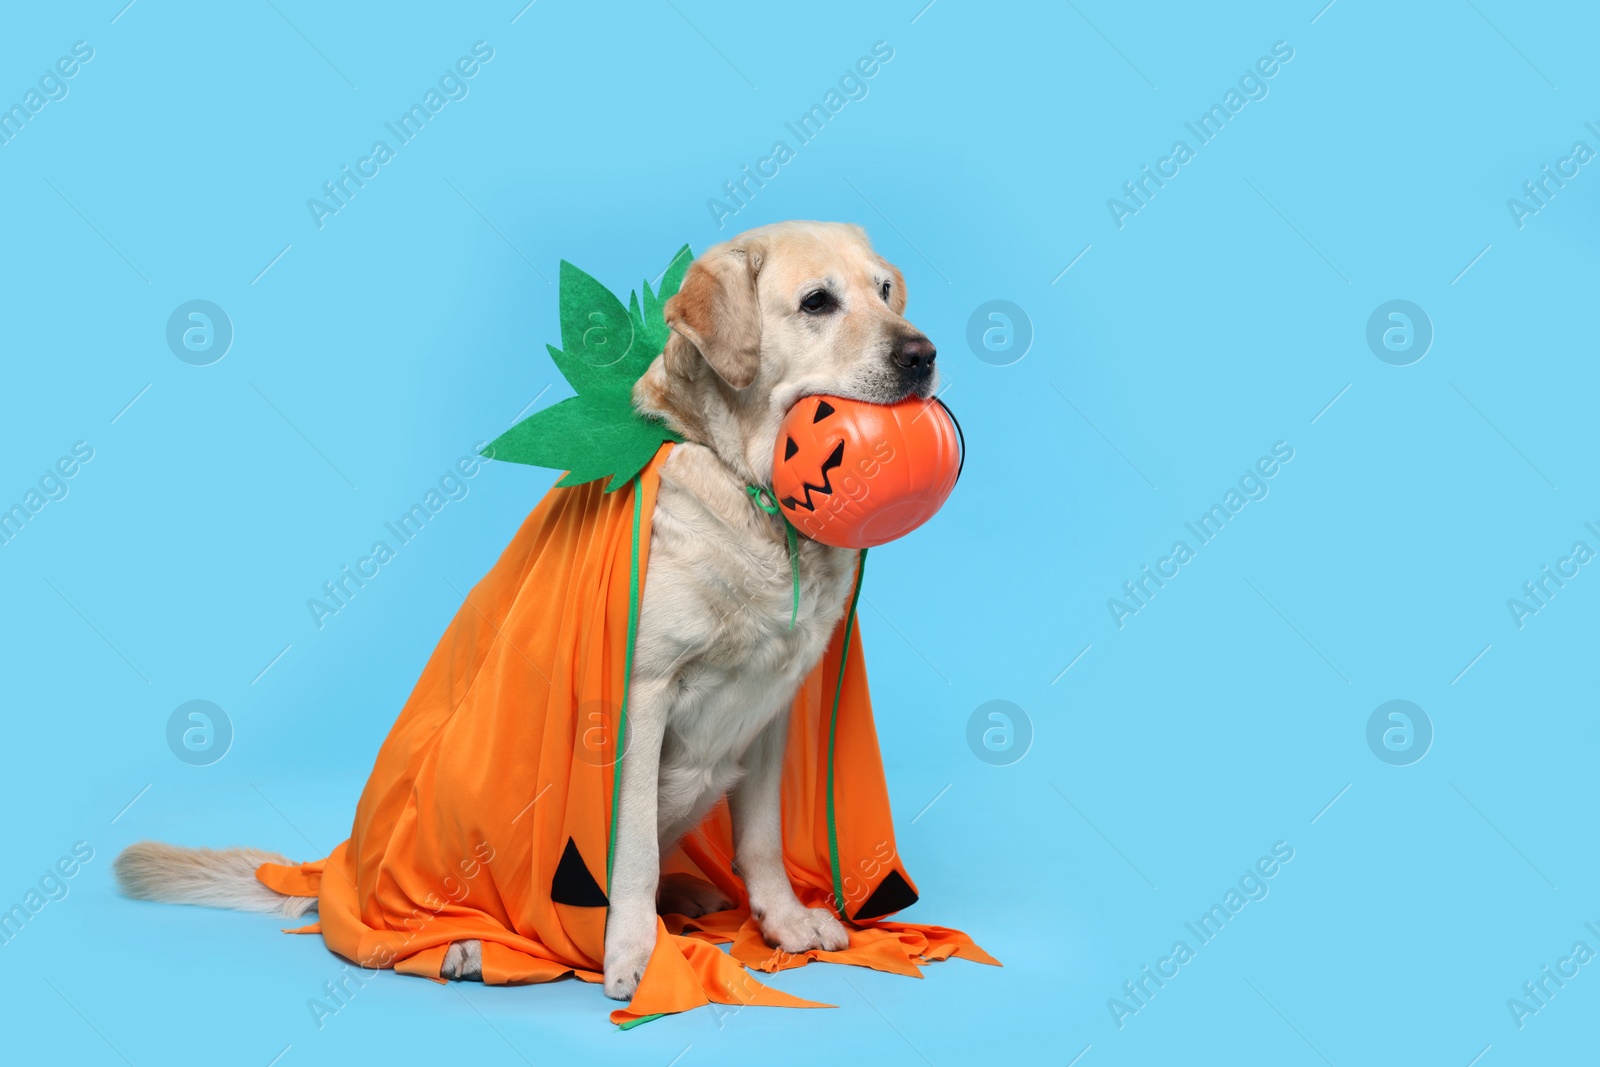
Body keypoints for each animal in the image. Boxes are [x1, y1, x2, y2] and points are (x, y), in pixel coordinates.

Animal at [118, 220, 934, 1004]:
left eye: (886, 291)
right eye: (817, 303)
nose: (922, 354)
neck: (746, 490)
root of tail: (337, 871)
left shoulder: (770, 703)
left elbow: (761, 837)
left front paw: (783, 921)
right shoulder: (637, 697)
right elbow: (628, 854)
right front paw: (636, 955)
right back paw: (472, 945)